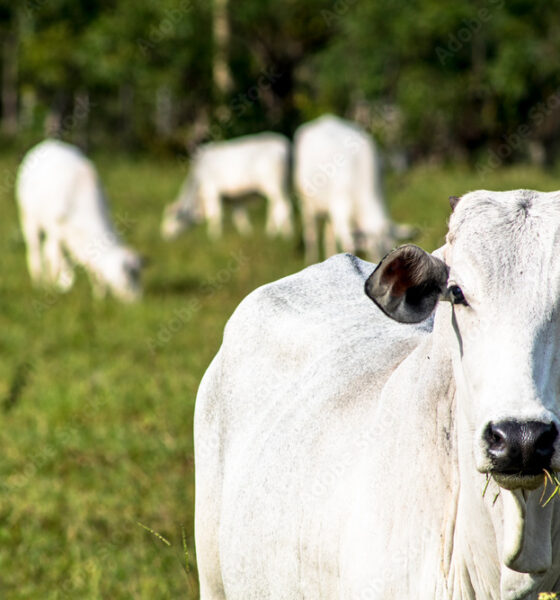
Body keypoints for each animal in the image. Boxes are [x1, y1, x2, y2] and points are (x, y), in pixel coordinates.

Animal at [16, 138, 142, 302]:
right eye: (127, 282)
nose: (138, 301)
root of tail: (48, 142)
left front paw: (98, 295)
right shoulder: (56, 231)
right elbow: (56, 257)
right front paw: (60, 285)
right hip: (29, 217)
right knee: (36, 248)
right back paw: (39, 281)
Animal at [160, 132, 294, 240]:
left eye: (172, 218)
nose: (165, 234)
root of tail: (283, 143)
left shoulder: (211, 191)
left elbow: (214, 215)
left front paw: (214, 237)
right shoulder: (235, 198)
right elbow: (239, 216)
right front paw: (246, 233)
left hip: (274, 186)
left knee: (283, 207)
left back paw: (276, 234)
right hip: (283, 187)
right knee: (276, 207)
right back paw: (282, 232)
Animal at [294, 113, 416, 262]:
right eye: (373, 251)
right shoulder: (340, 211)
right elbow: (349, 247)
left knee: (328, 235)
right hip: (306, 202)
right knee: (310, 231)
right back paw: (311, 258)